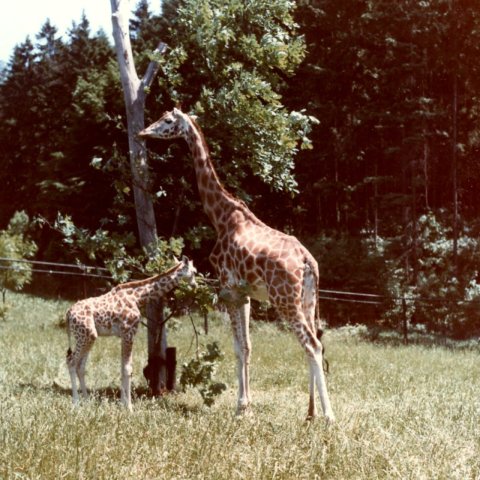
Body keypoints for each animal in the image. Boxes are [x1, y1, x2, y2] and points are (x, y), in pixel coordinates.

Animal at [66, 255, 196, 410]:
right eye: (194, 271)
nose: (195, 285)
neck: (138, 297)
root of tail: (68, 313)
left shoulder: (123, 335)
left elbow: (123, 368)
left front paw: (122, 403)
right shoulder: (129, 332)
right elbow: (128, 369)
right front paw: (129, 407)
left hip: (87, 337)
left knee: (80, 366)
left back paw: (86, 400)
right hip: (86, 335)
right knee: (71, 362)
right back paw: (75, 403)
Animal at [139, 108, 335, 422]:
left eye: (168, 120)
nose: (143, 133)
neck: (221, 216)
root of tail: (308, 262)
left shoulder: (228, 289)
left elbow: (237, 347)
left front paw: (240, 408)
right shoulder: (244, 294)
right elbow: (247, 346)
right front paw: (247, 407)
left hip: (284, 300)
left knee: (312, 345)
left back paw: (328, 417)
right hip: (308, 300)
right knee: (314, 343)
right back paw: (309, 413)